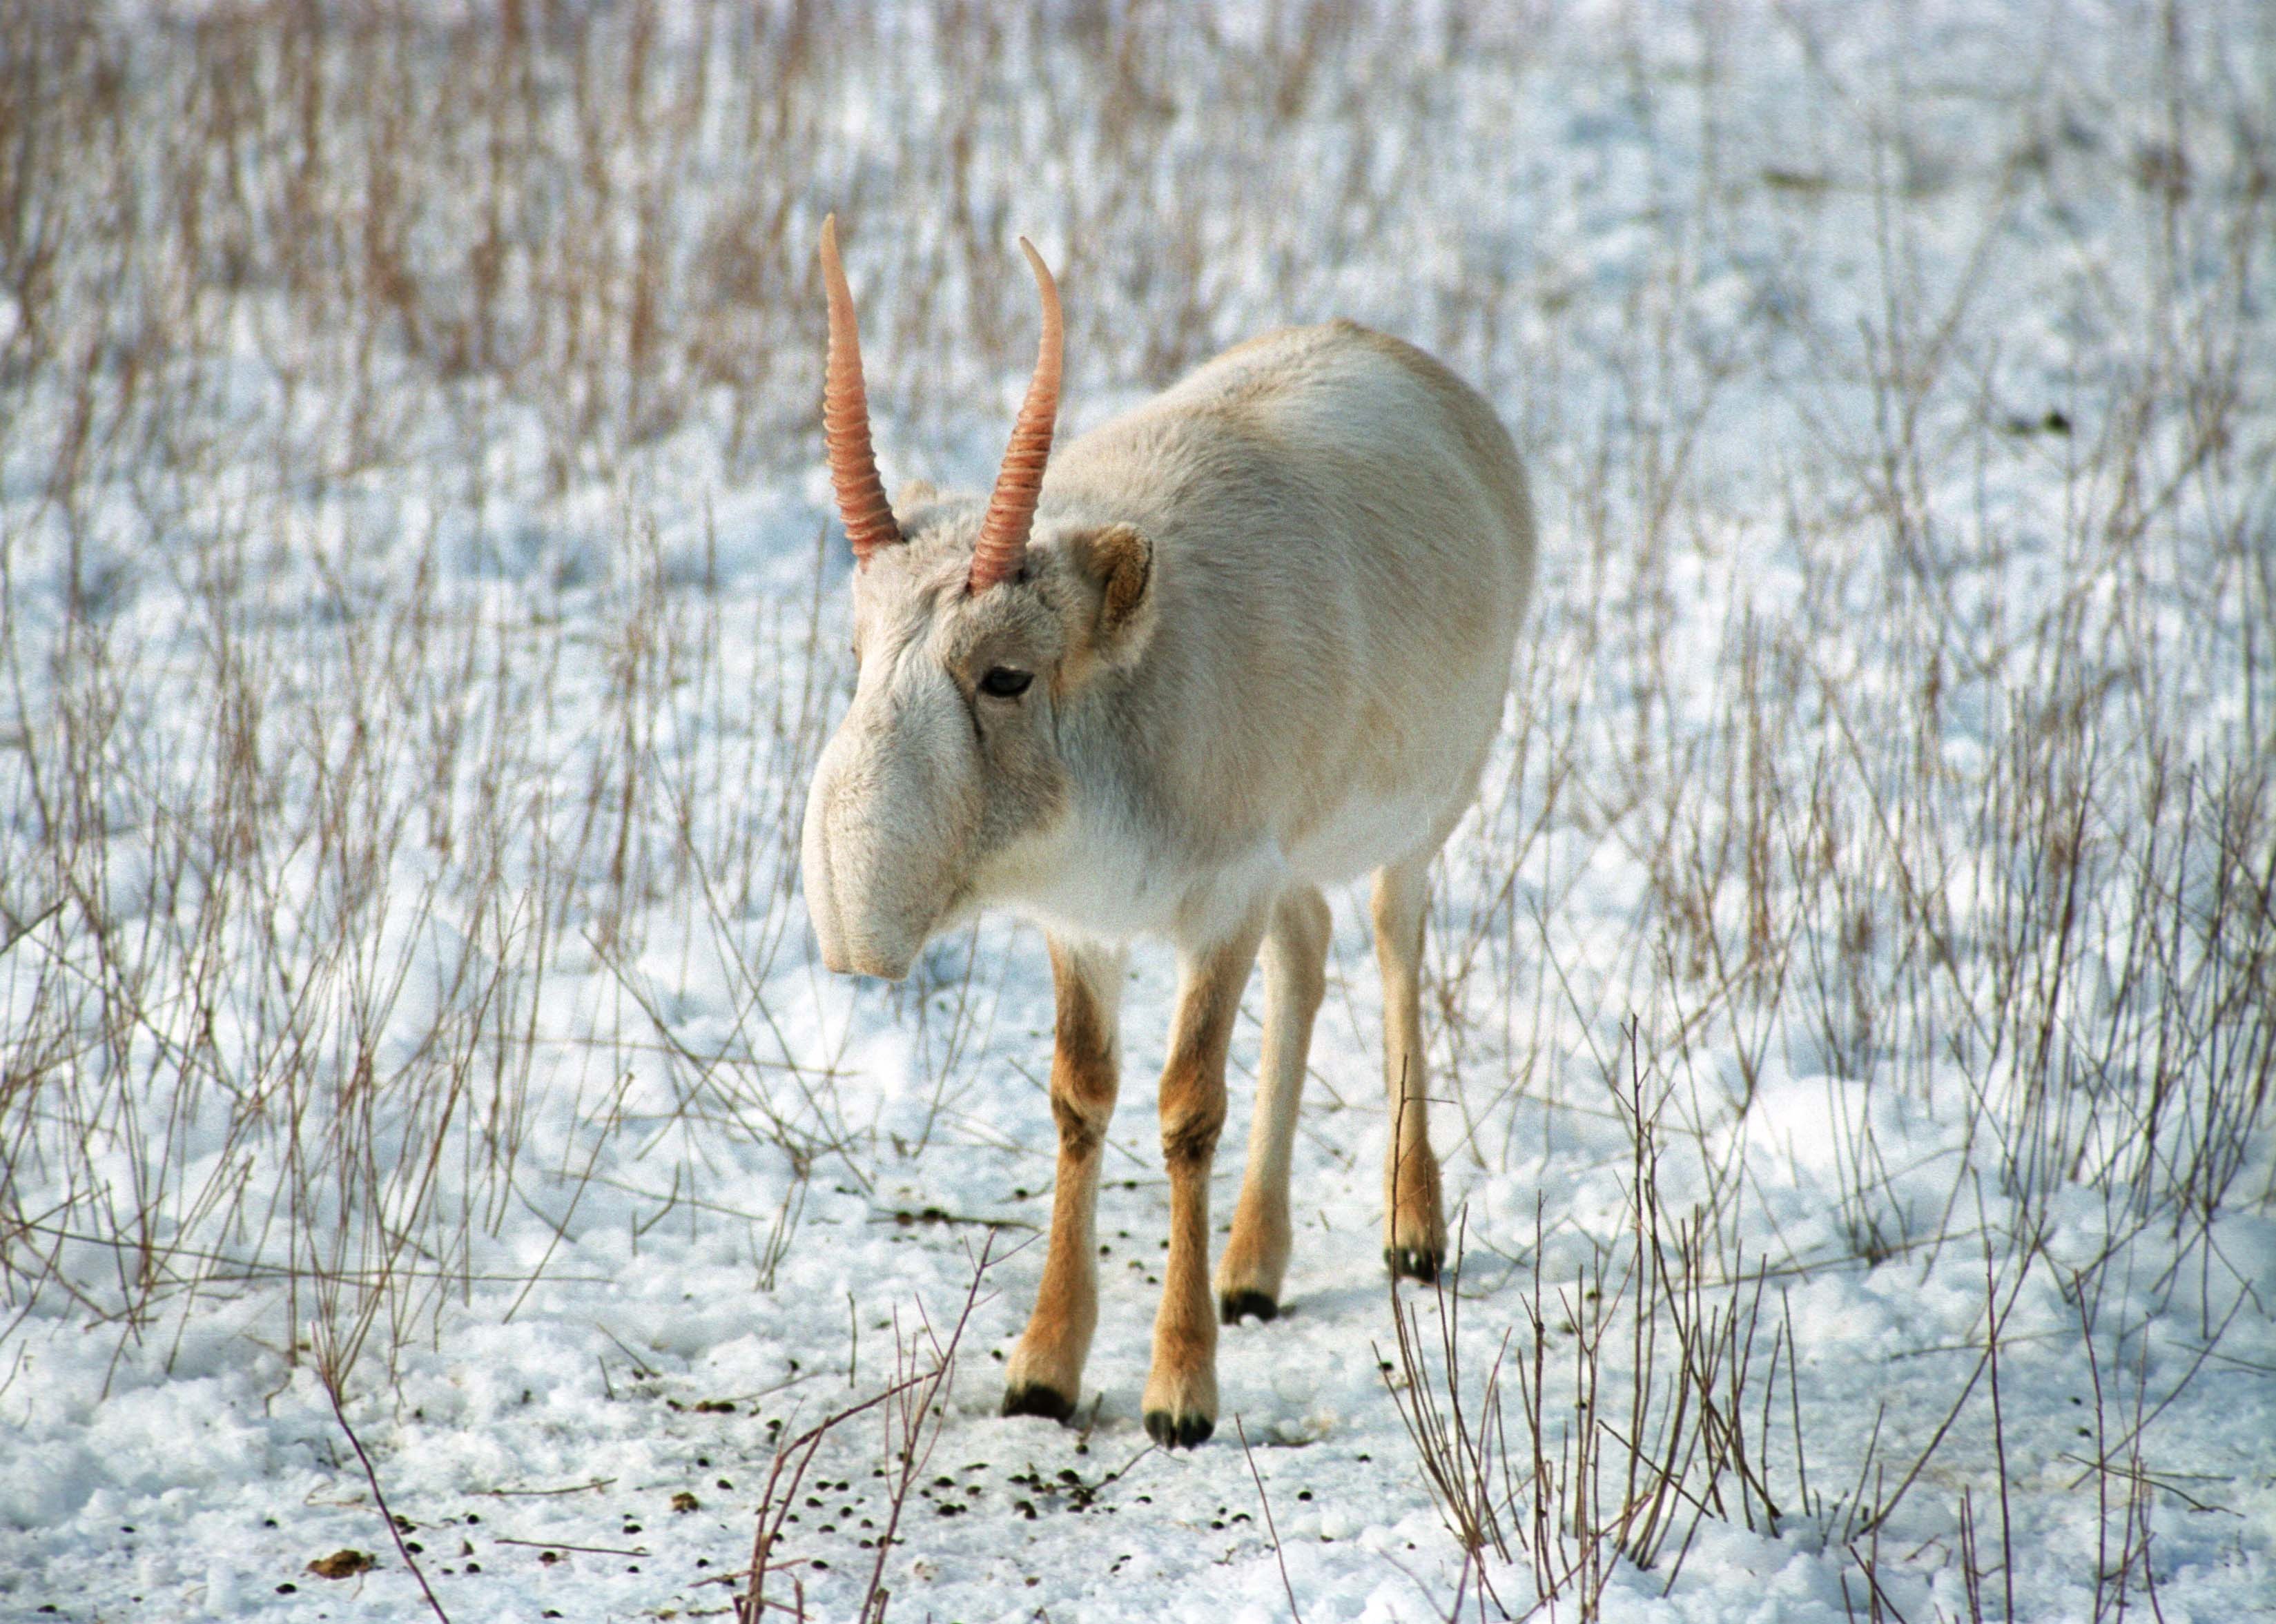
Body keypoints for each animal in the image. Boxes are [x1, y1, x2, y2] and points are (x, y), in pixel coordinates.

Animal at [801, 215, 1529, 1446]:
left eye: (1006, 673)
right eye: (857, 656)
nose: (854, 923)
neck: (1125, 695)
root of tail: (1418, 368)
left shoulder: (1222, 901)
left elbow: (1188, 1108)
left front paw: (1180, 1390)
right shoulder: (1085, 925)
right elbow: (1078, 1096)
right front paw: (1043, 1368)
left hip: (1426, 810)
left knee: (1393, 943)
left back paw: (1411, 1228)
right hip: (1296, 859)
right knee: (1307, 955)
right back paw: (1253, 1265)